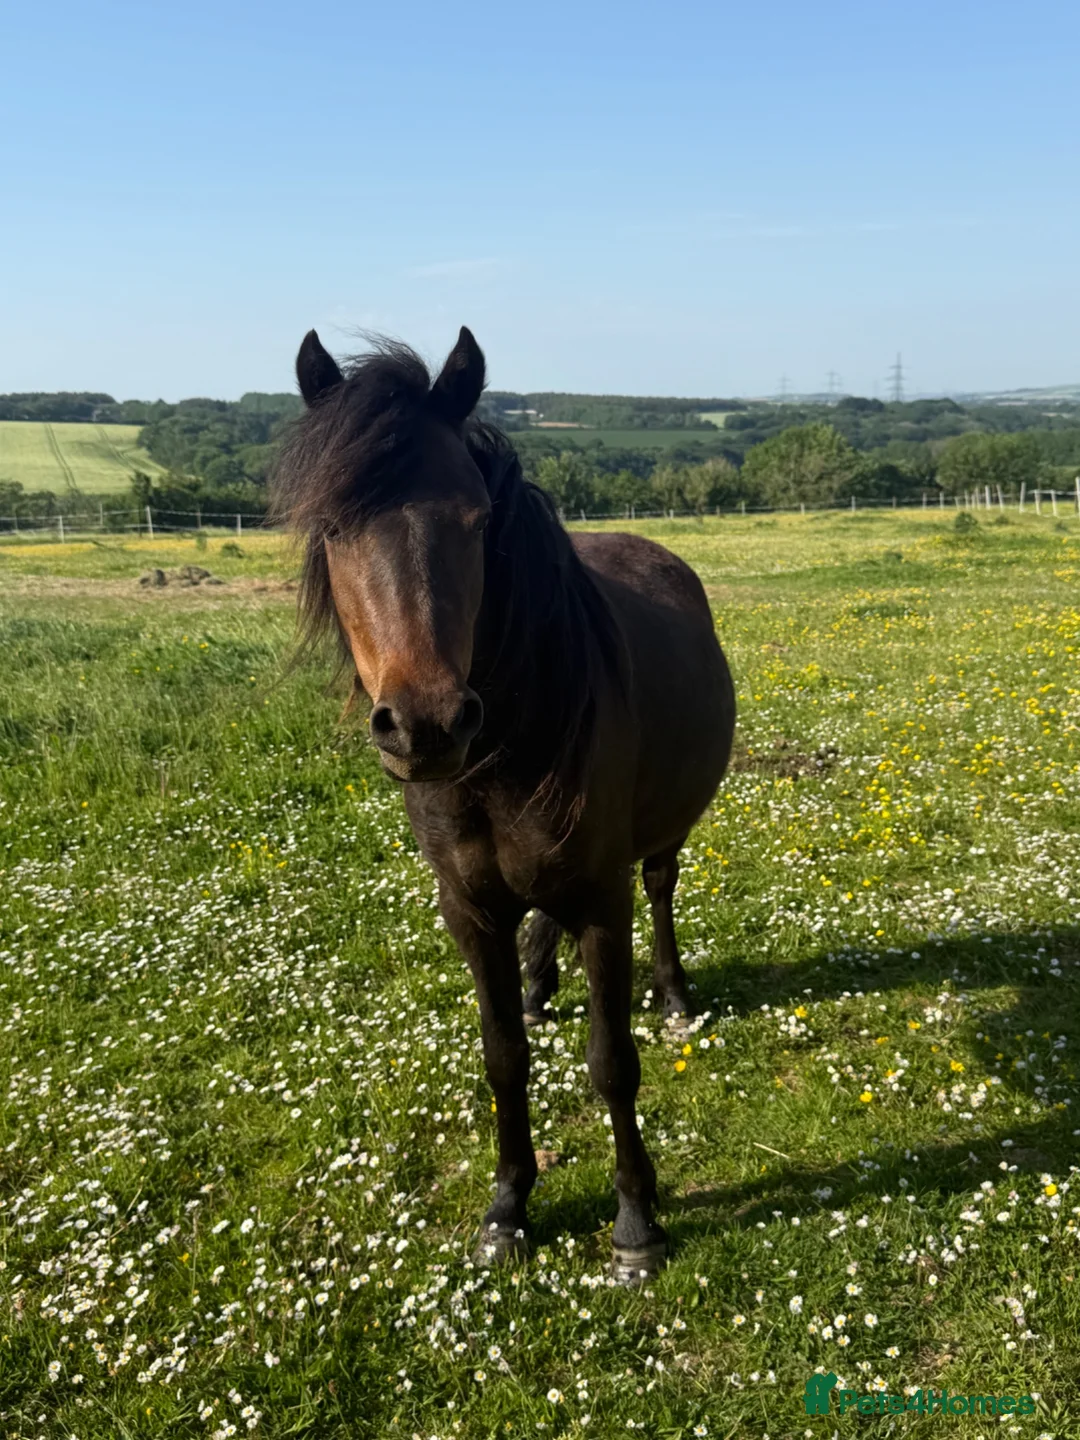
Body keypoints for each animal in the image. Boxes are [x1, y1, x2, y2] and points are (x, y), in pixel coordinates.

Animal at [272, 326, 736, 1282]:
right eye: (332, 527)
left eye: (478, 522)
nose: (426, 724)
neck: (497, 764)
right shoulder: (469, 908)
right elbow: (501, 1058)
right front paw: (508, 1207)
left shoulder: (602, 901)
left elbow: (611, 1061)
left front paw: (636, 1221)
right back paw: (535, 984)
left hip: (660, 840)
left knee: (663, 888)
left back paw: (674, 996)